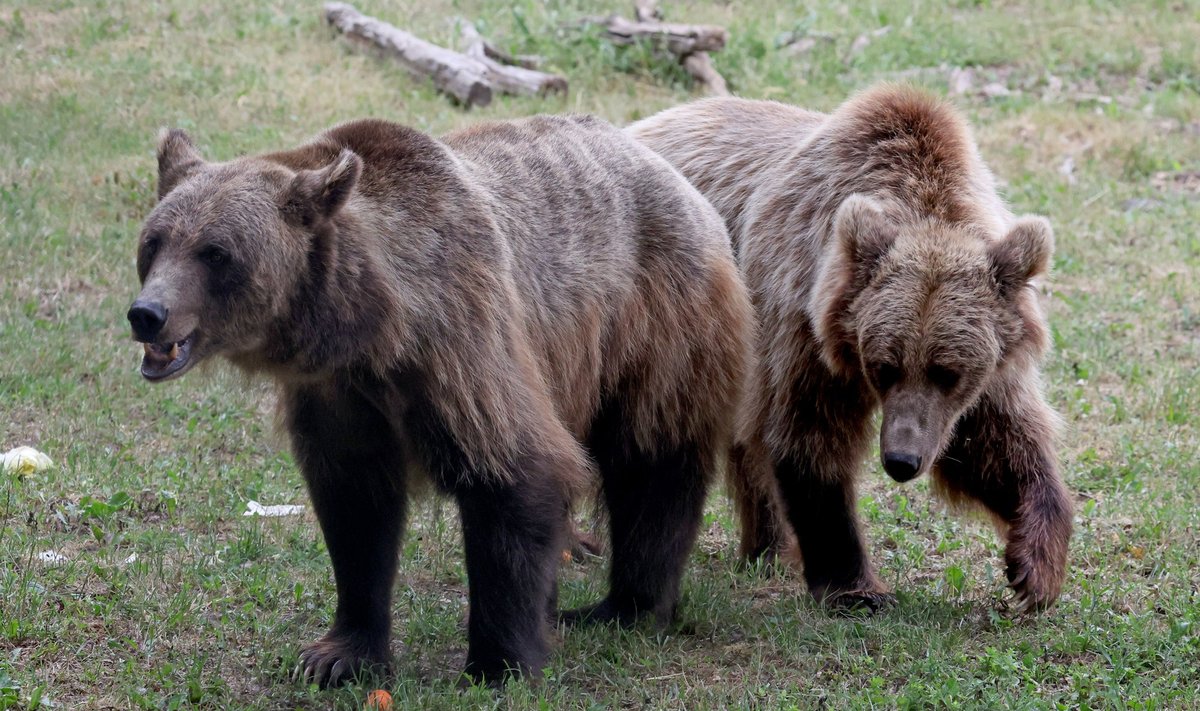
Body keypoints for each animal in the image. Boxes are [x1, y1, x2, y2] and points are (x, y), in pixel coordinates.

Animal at [129, 115, 748, 682]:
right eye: (154, 243)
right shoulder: (339, 396)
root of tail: (675, 175)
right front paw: (337, 653)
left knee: (653, 462)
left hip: (656, 321)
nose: (147, 314)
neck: (369, 330)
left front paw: (499, 661)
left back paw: (624, 607)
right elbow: (356, 510)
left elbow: (513, 474)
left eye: (215, 252)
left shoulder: (459, 344)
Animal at [633, 84, 1075, 610]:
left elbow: (997, 443)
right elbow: (810, 437)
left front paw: (1034, 567)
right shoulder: (802, 318)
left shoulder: (991, 365)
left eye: (947, 372)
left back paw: (767, 549)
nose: (902, 461)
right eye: (885, 366)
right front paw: (854, 585)